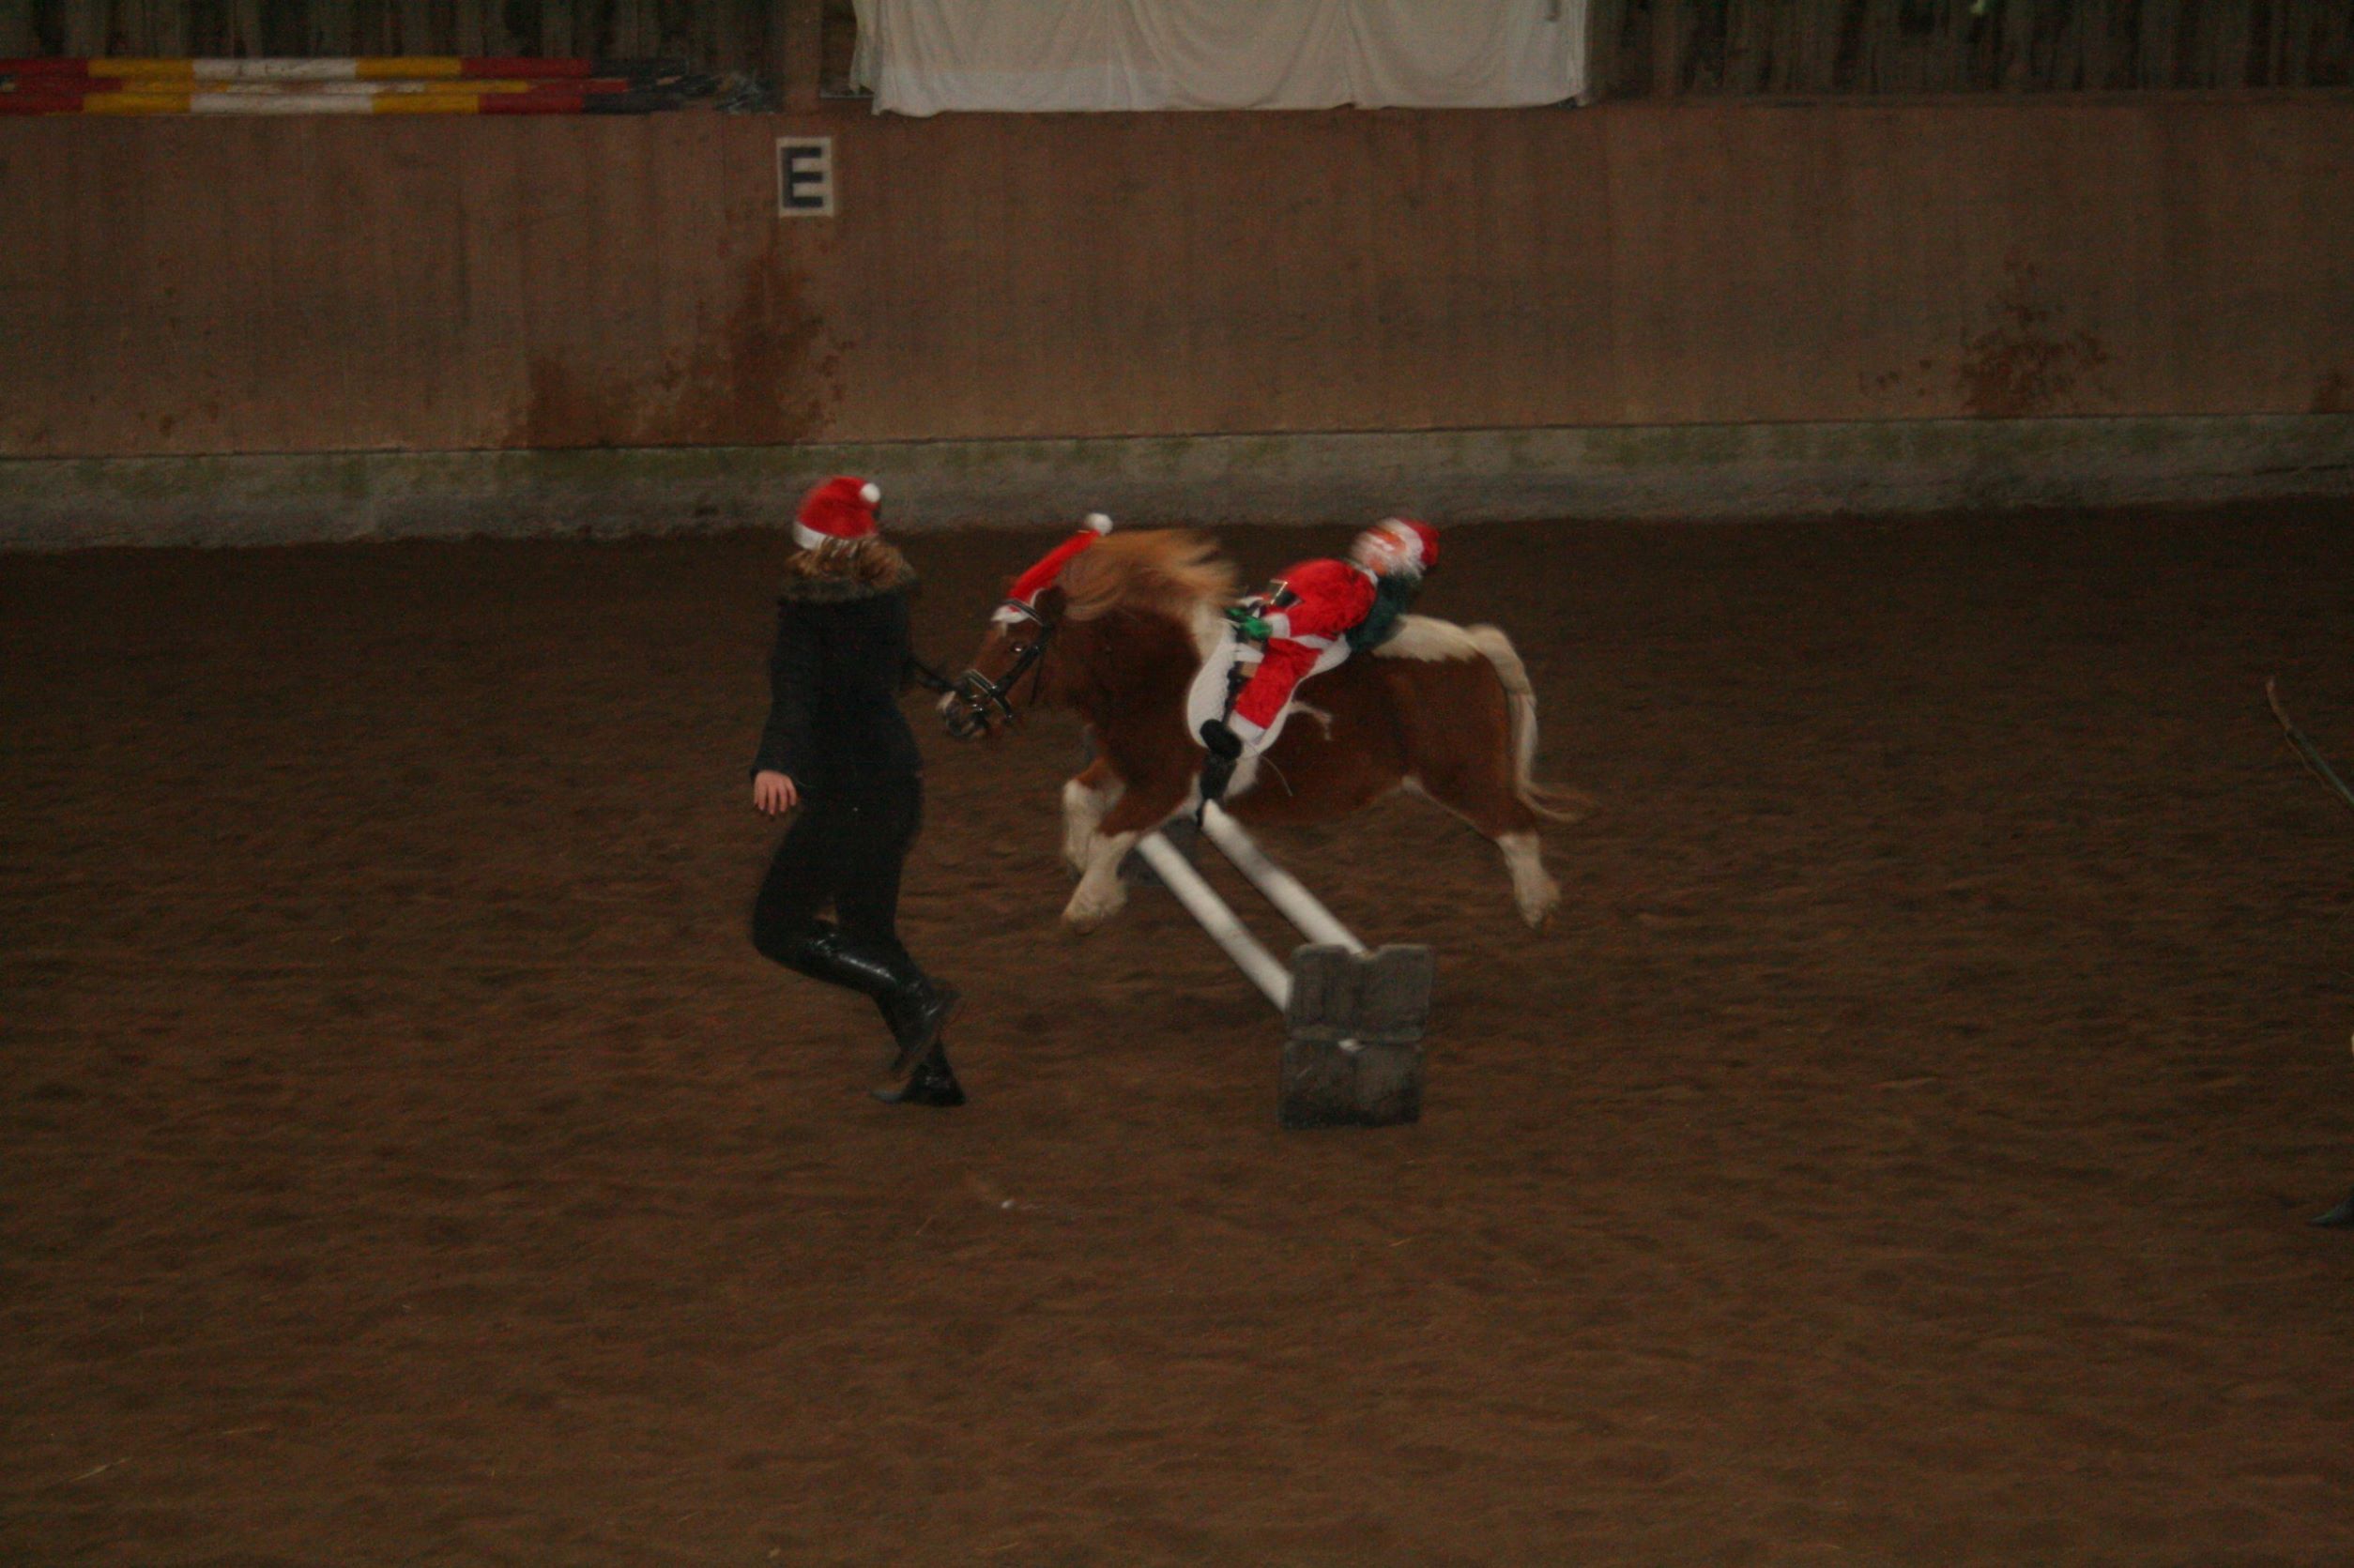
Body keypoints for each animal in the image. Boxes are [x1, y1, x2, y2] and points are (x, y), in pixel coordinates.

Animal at [932, 525, 1582, 927]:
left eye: (1018, 645)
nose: (954, 713)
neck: (1157, 671)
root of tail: (1475, 645)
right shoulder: (1125, 763)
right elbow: (1078, 799)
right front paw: (1084, 869)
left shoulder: (1166, 786)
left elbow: (1113, 835)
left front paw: (1088, 904)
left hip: (1461, 776)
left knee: (1517, 828)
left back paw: (1539, 905)